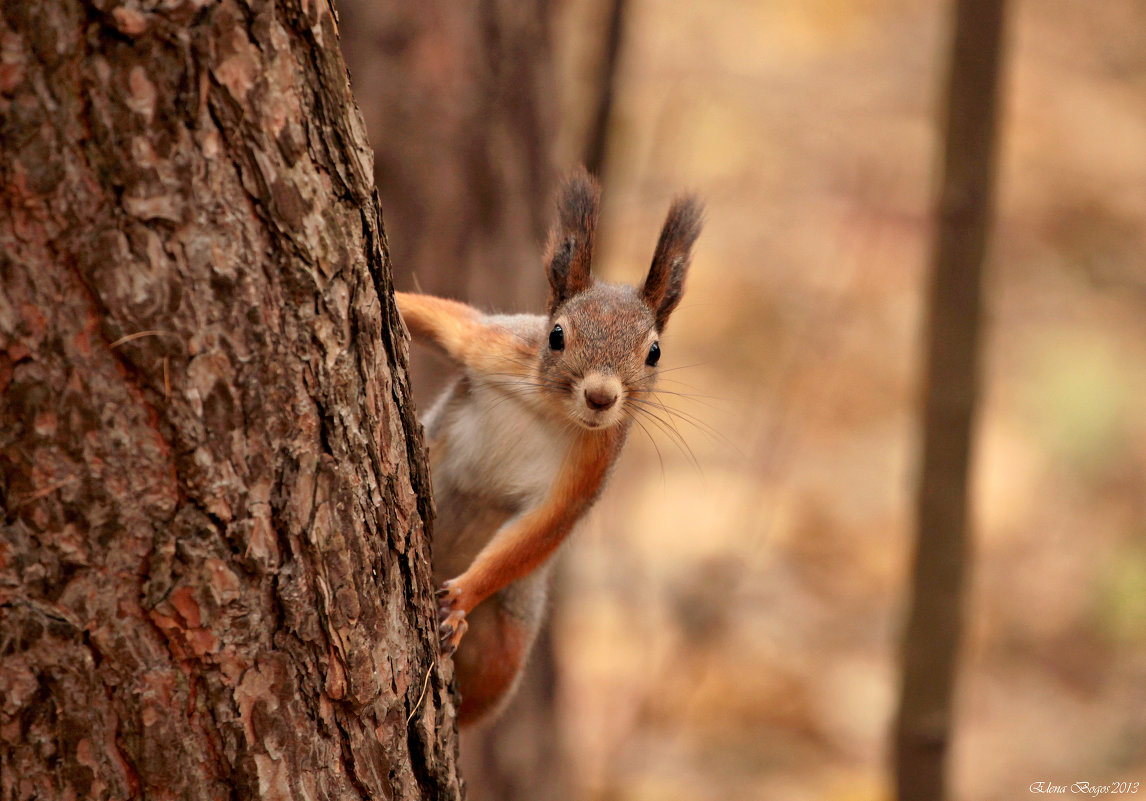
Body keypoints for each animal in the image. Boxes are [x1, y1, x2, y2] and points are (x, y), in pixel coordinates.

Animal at [391, 169, 696, 728]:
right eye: (555, 336)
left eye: (655, 352)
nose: (601, 397)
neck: (552, 408)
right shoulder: (495, 345)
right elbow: (445, 319)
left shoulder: (594, 461)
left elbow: (542, 526)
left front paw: (462, 598)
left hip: (511, 631)